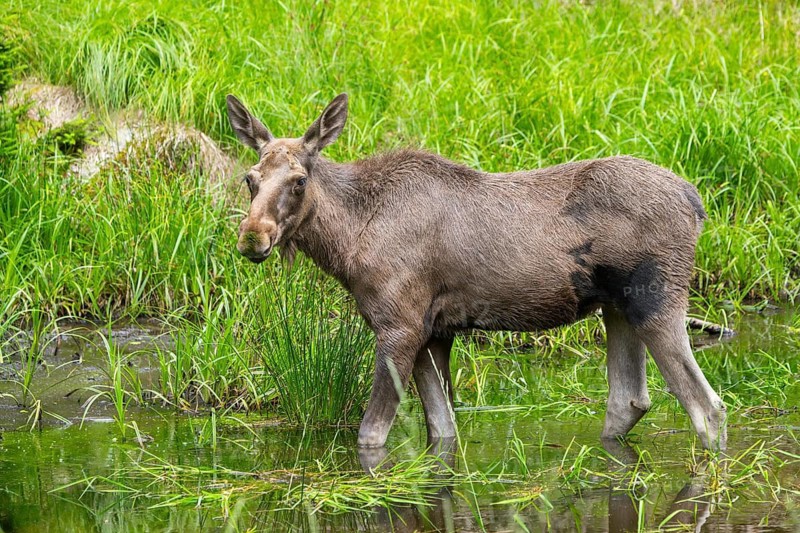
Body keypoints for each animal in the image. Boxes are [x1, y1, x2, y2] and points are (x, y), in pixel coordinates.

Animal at [226, 92, 727, 452]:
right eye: (250, 179)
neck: (347, 242)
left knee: (708, 408)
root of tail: (696, 200)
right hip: (616, 308)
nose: (252, 237)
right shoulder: (434, 333)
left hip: (656, 299)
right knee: (629, 400)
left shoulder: (399, 326)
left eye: (299, 181)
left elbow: (371, 435)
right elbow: (442, 430)